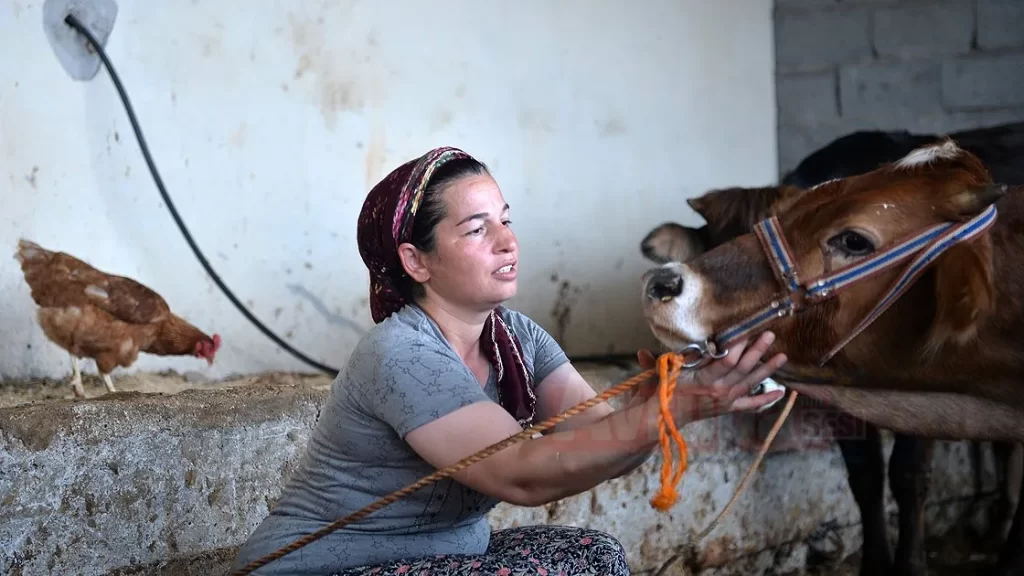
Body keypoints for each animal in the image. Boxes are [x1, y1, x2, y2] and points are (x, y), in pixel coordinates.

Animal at [638, 120, 1024, 573]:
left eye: (852, 240)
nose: (664, 284)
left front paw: (911, 563)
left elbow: (909, 475)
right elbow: (865, 474)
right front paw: (875, 563)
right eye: (713, 243)